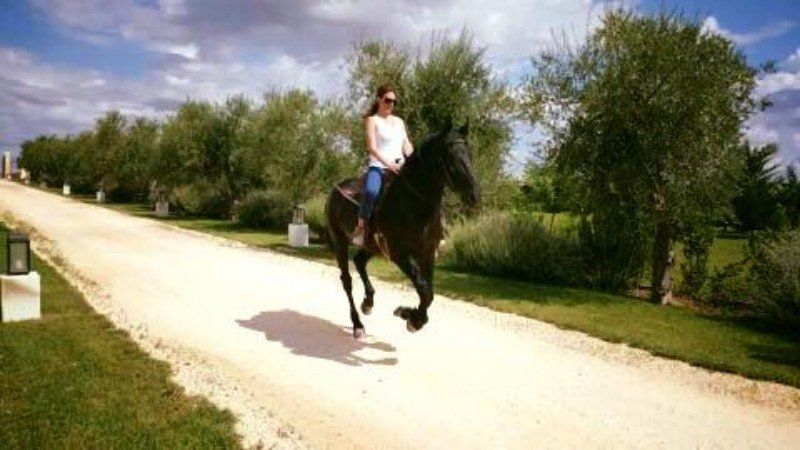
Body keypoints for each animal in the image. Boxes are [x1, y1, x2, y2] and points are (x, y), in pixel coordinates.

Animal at [325, 118, 480, 338]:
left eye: (469, 153)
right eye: (449, 157)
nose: (475, 195)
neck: (414, 203)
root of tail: (335, 190)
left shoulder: (427, 253)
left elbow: (428, 292)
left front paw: (411, 316)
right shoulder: (401, 254)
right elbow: (424, 290)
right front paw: (411, 318)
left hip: (373, 245)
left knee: (359, 261)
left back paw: (368, 302)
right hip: (340, 240)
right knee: (346, 280)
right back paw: (357, 324)